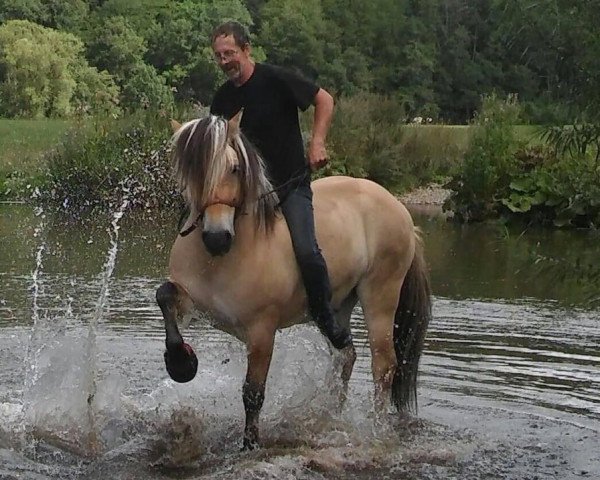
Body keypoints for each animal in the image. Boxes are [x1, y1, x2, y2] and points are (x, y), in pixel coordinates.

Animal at [156, 113, 432, 450]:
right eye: (190, 170)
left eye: (234, 168)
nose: (217, 238)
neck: (223, 259)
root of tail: (400, 210)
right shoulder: (192, 302)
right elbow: (164, 295)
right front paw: (180, 363)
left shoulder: (262, 330)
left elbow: (253, 393)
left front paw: (250, 446)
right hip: (338, 305)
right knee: (345, 356)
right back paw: (330, 416)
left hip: (380, 296)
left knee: (383, 365)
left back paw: (376, 429)